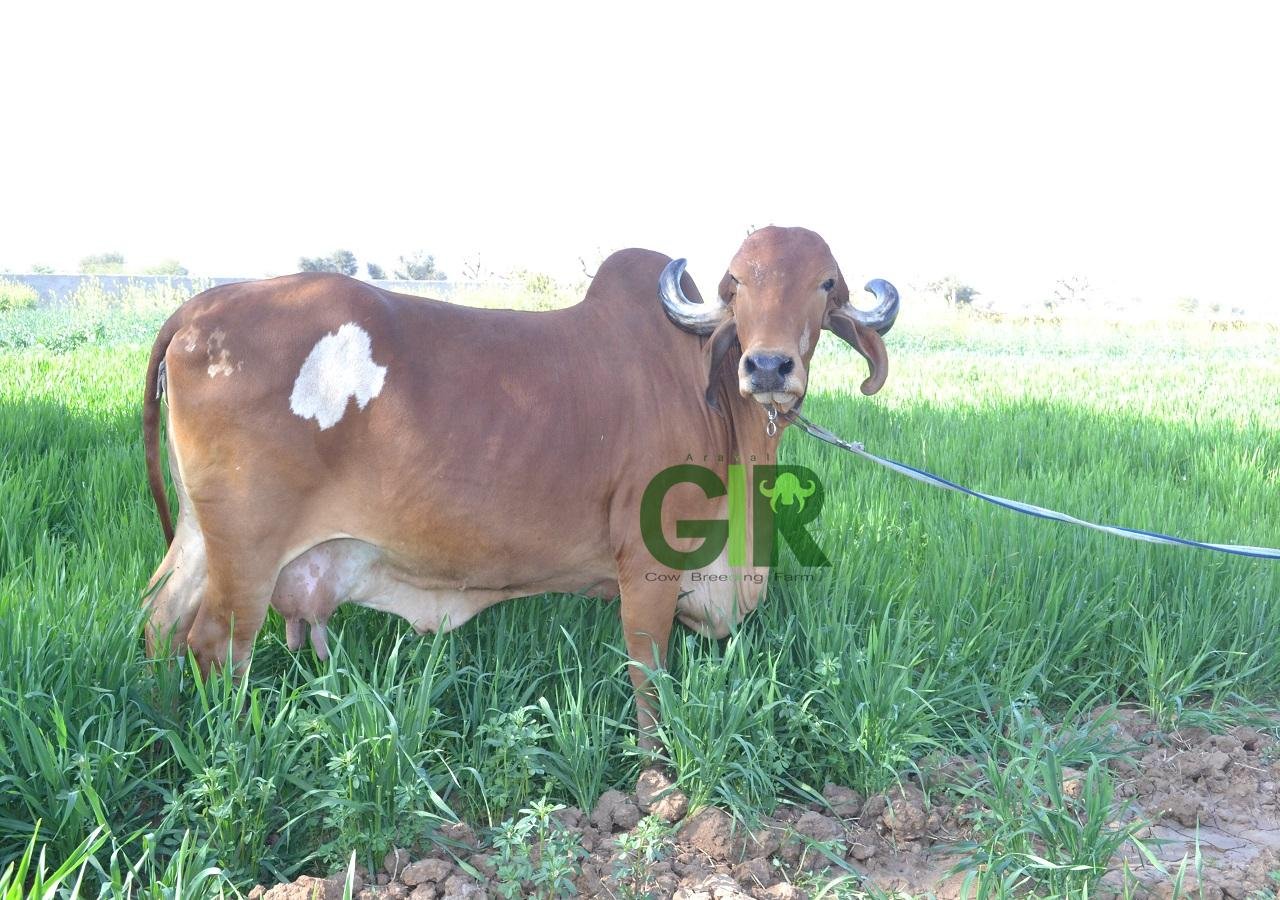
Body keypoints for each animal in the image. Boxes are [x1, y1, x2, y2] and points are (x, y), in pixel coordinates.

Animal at [142, 225, 897, 740]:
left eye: (827, 283)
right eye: (735, 285)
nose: (767, 367)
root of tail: (199, 310)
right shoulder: (647, 562)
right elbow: (647, 674)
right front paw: (656, 777)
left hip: (201, 538)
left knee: (159, 623)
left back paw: (166, 720)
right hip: (248, 551)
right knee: (217, 643)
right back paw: (229, 744)